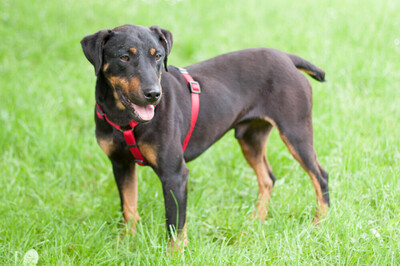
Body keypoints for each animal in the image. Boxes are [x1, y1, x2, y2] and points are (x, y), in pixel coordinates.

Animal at [79, 23, 330, 250]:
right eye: (124, 57)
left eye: (158, 56)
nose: (153, 94)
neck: (124, 119)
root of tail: (287, 58)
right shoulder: (120, 164)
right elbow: (129, 208)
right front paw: (124, 244)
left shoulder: (174, 174)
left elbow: (175, 225)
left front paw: (174, 256)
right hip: (251, 138)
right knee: (267, 178)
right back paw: (255, 221)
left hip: (295, 131)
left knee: (320, 176)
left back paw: (320, 224)